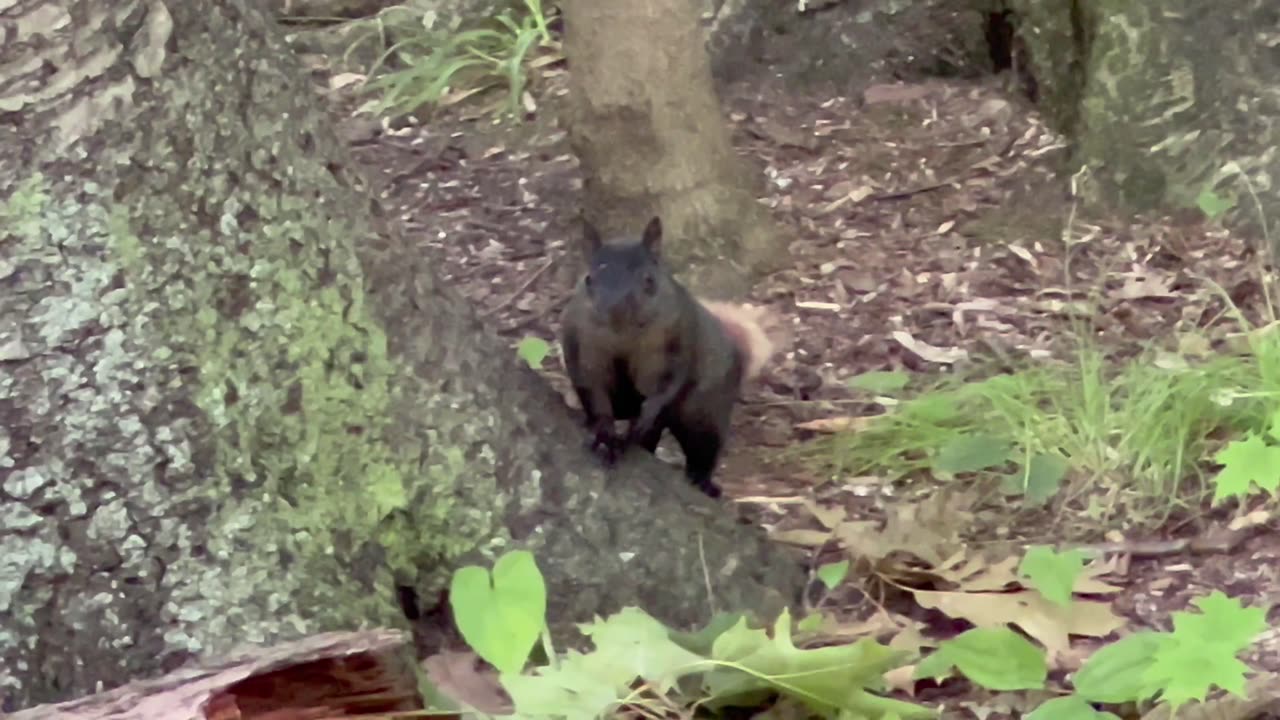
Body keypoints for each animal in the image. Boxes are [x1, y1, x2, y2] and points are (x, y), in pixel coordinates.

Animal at [558, 215, 778, 497]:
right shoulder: (581, 346)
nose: (614, 309)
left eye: (649, 279)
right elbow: (592, 391)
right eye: (588, 279)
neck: (624, 335)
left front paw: (643, 417)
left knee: (703, 448)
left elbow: (668, 385)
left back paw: (701, 481)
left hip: (705, 411)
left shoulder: (678, 341)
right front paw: (604, 434)